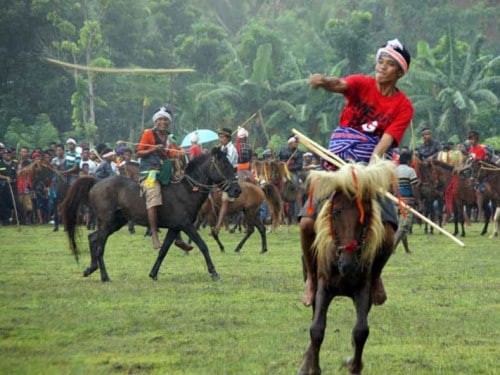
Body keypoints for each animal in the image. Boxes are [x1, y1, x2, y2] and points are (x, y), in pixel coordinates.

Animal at [60, 150, 240, 282]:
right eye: (224, 165)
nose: (237, 190)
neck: (187, 189)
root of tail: (96, 183)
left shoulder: (174, 228)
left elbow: (164, 251)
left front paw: (153, 274)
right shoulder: (186, 225)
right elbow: (203, 246)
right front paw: (214, 272)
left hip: (115, 222)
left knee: (92, 238)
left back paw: (90, 268)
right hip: (106, 221)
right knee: (99, 246)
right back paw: (104, 277)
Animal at [298, 162, 396, 375]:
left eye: (364, 216)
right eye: (336, 212)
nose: (348, 265)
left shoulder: (362, 288)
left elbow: (361, 330)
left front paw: (354, 365)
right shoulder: (324, 286)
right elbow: (316, 329)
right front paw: (313, 368)